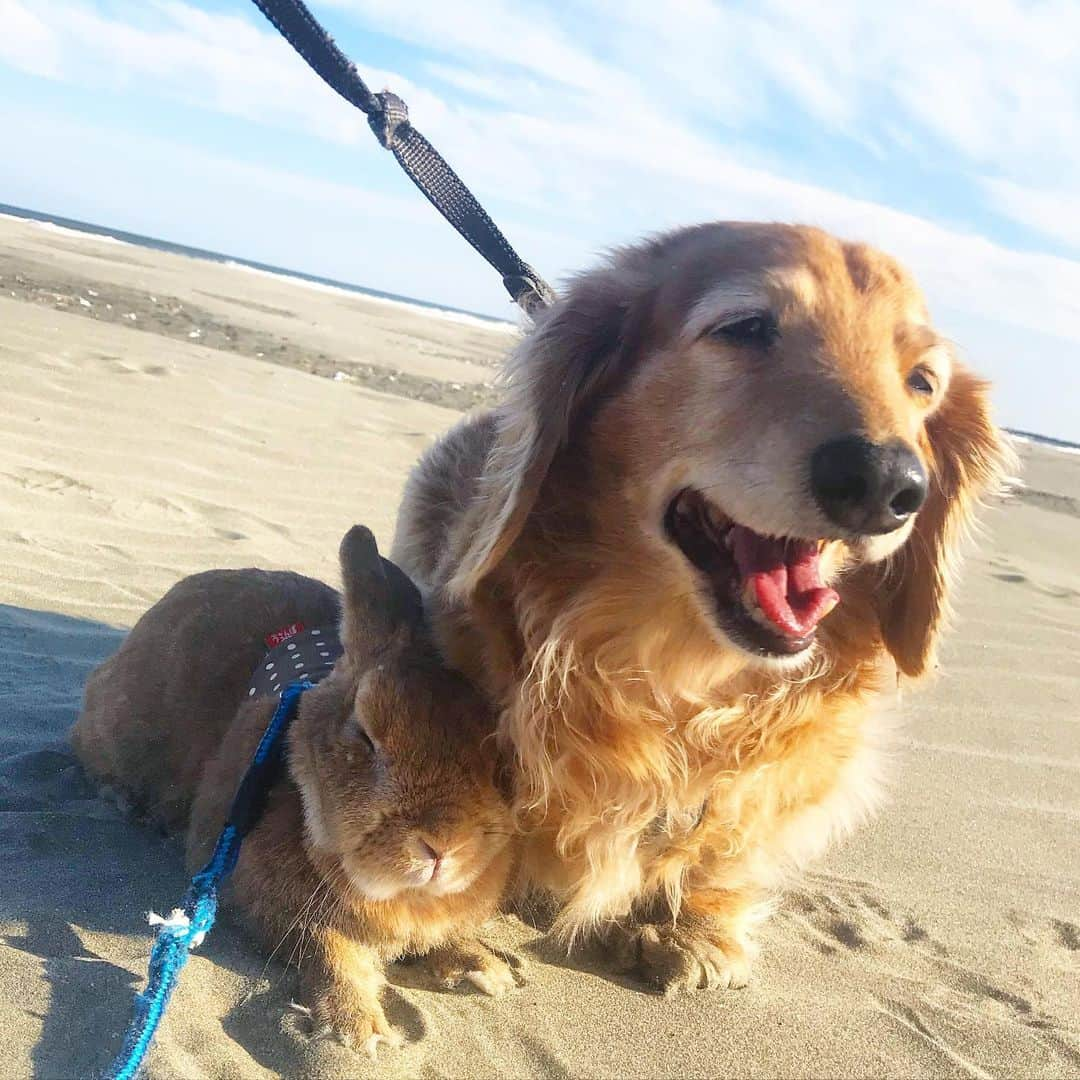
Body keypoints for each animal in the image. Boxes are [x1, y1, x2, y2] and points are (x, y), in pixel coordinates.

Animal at [71, 527, 518, 1049]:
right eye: (364, 733)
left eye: (499, 754)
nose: (442, 845)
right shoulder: (273, 905)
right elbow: (332, 953)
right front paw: (358, 1029)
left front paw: (485, 970)